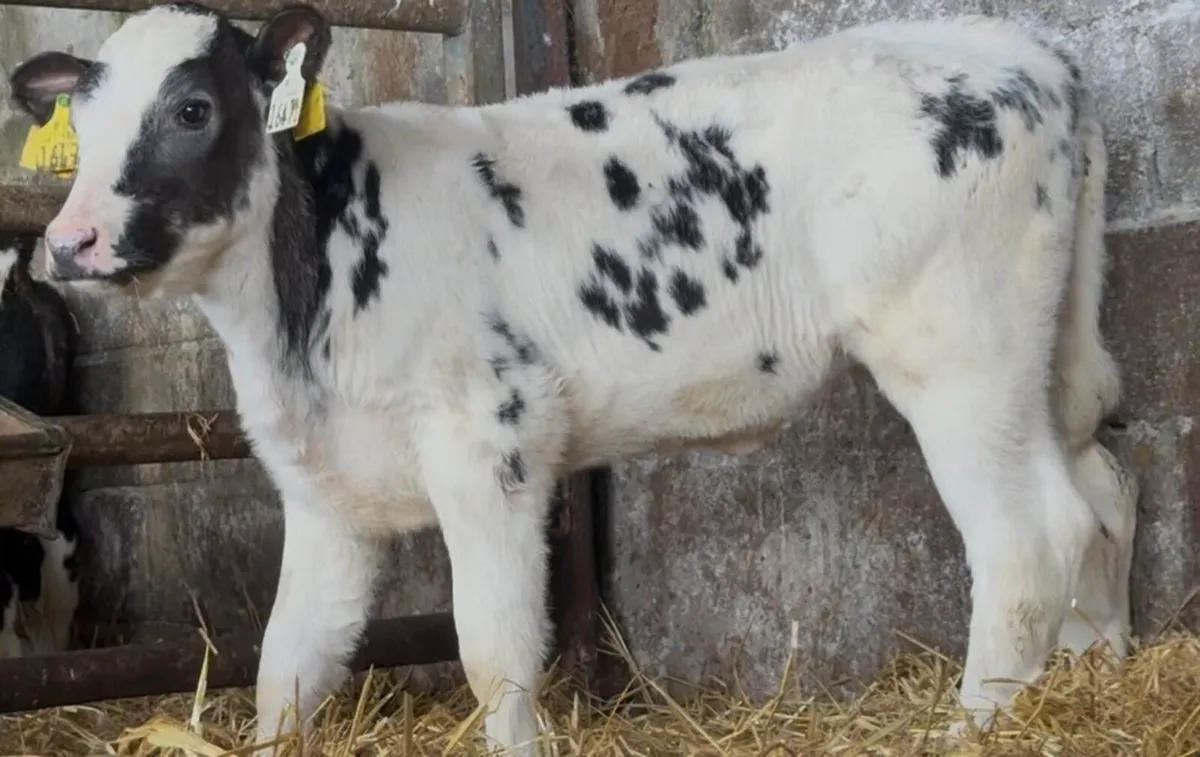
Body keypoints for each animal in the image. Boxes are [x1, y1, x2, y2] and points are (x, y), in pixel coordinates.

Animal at [8, 3, 1139, 753]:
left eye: (193, 108)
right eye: (80, 130)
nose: (70, 240)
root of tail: (1023, 49)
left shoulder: (492, 441)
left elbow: (492, 646)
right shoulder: (325, 488)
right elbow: (288, 662)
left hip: (957, 350)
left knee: (1029, 534)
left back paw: (978, 721)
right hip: (1044, 352)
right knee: (1102, 492)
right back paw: (1100, 675)